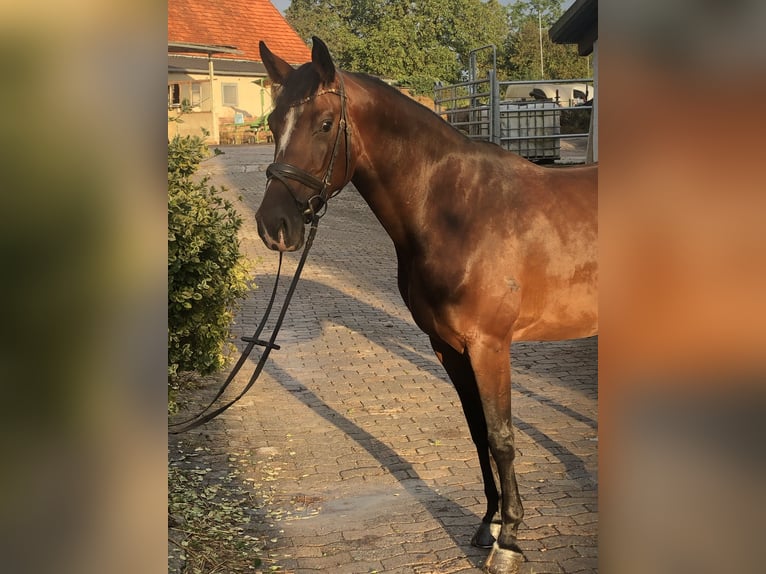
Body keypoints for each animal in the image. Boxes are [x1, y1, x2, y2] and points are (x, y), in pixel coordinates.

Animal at [255, 37, 596, 574]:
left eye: (325, 124)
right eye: (272, 123)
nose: (275, 226)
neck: (457, 211)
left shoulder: (490, 346)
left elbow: (502, 437)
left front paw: (510, 541)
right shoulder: (447, 346)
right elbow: (478, 432)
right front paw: (488, 524)